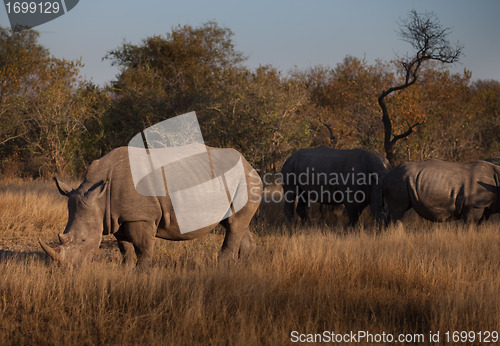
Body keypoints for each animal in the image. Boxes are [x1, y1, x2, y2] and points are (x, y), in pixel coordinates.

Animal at [40, 145, 262, 266]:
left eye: (84, 240)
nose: (67, 269)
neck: (100, 197)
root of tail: (250, 165)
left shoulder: (141, 216)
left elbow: (143, 248)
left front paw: (141, 274)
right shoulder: (116, 217)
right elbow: (125, 249)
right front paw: (126, 271)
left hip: (246, 181)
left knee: (234, 225)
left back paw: (222, 267)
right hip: (239, 182)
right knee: (235, 224)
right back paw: (241, 269)